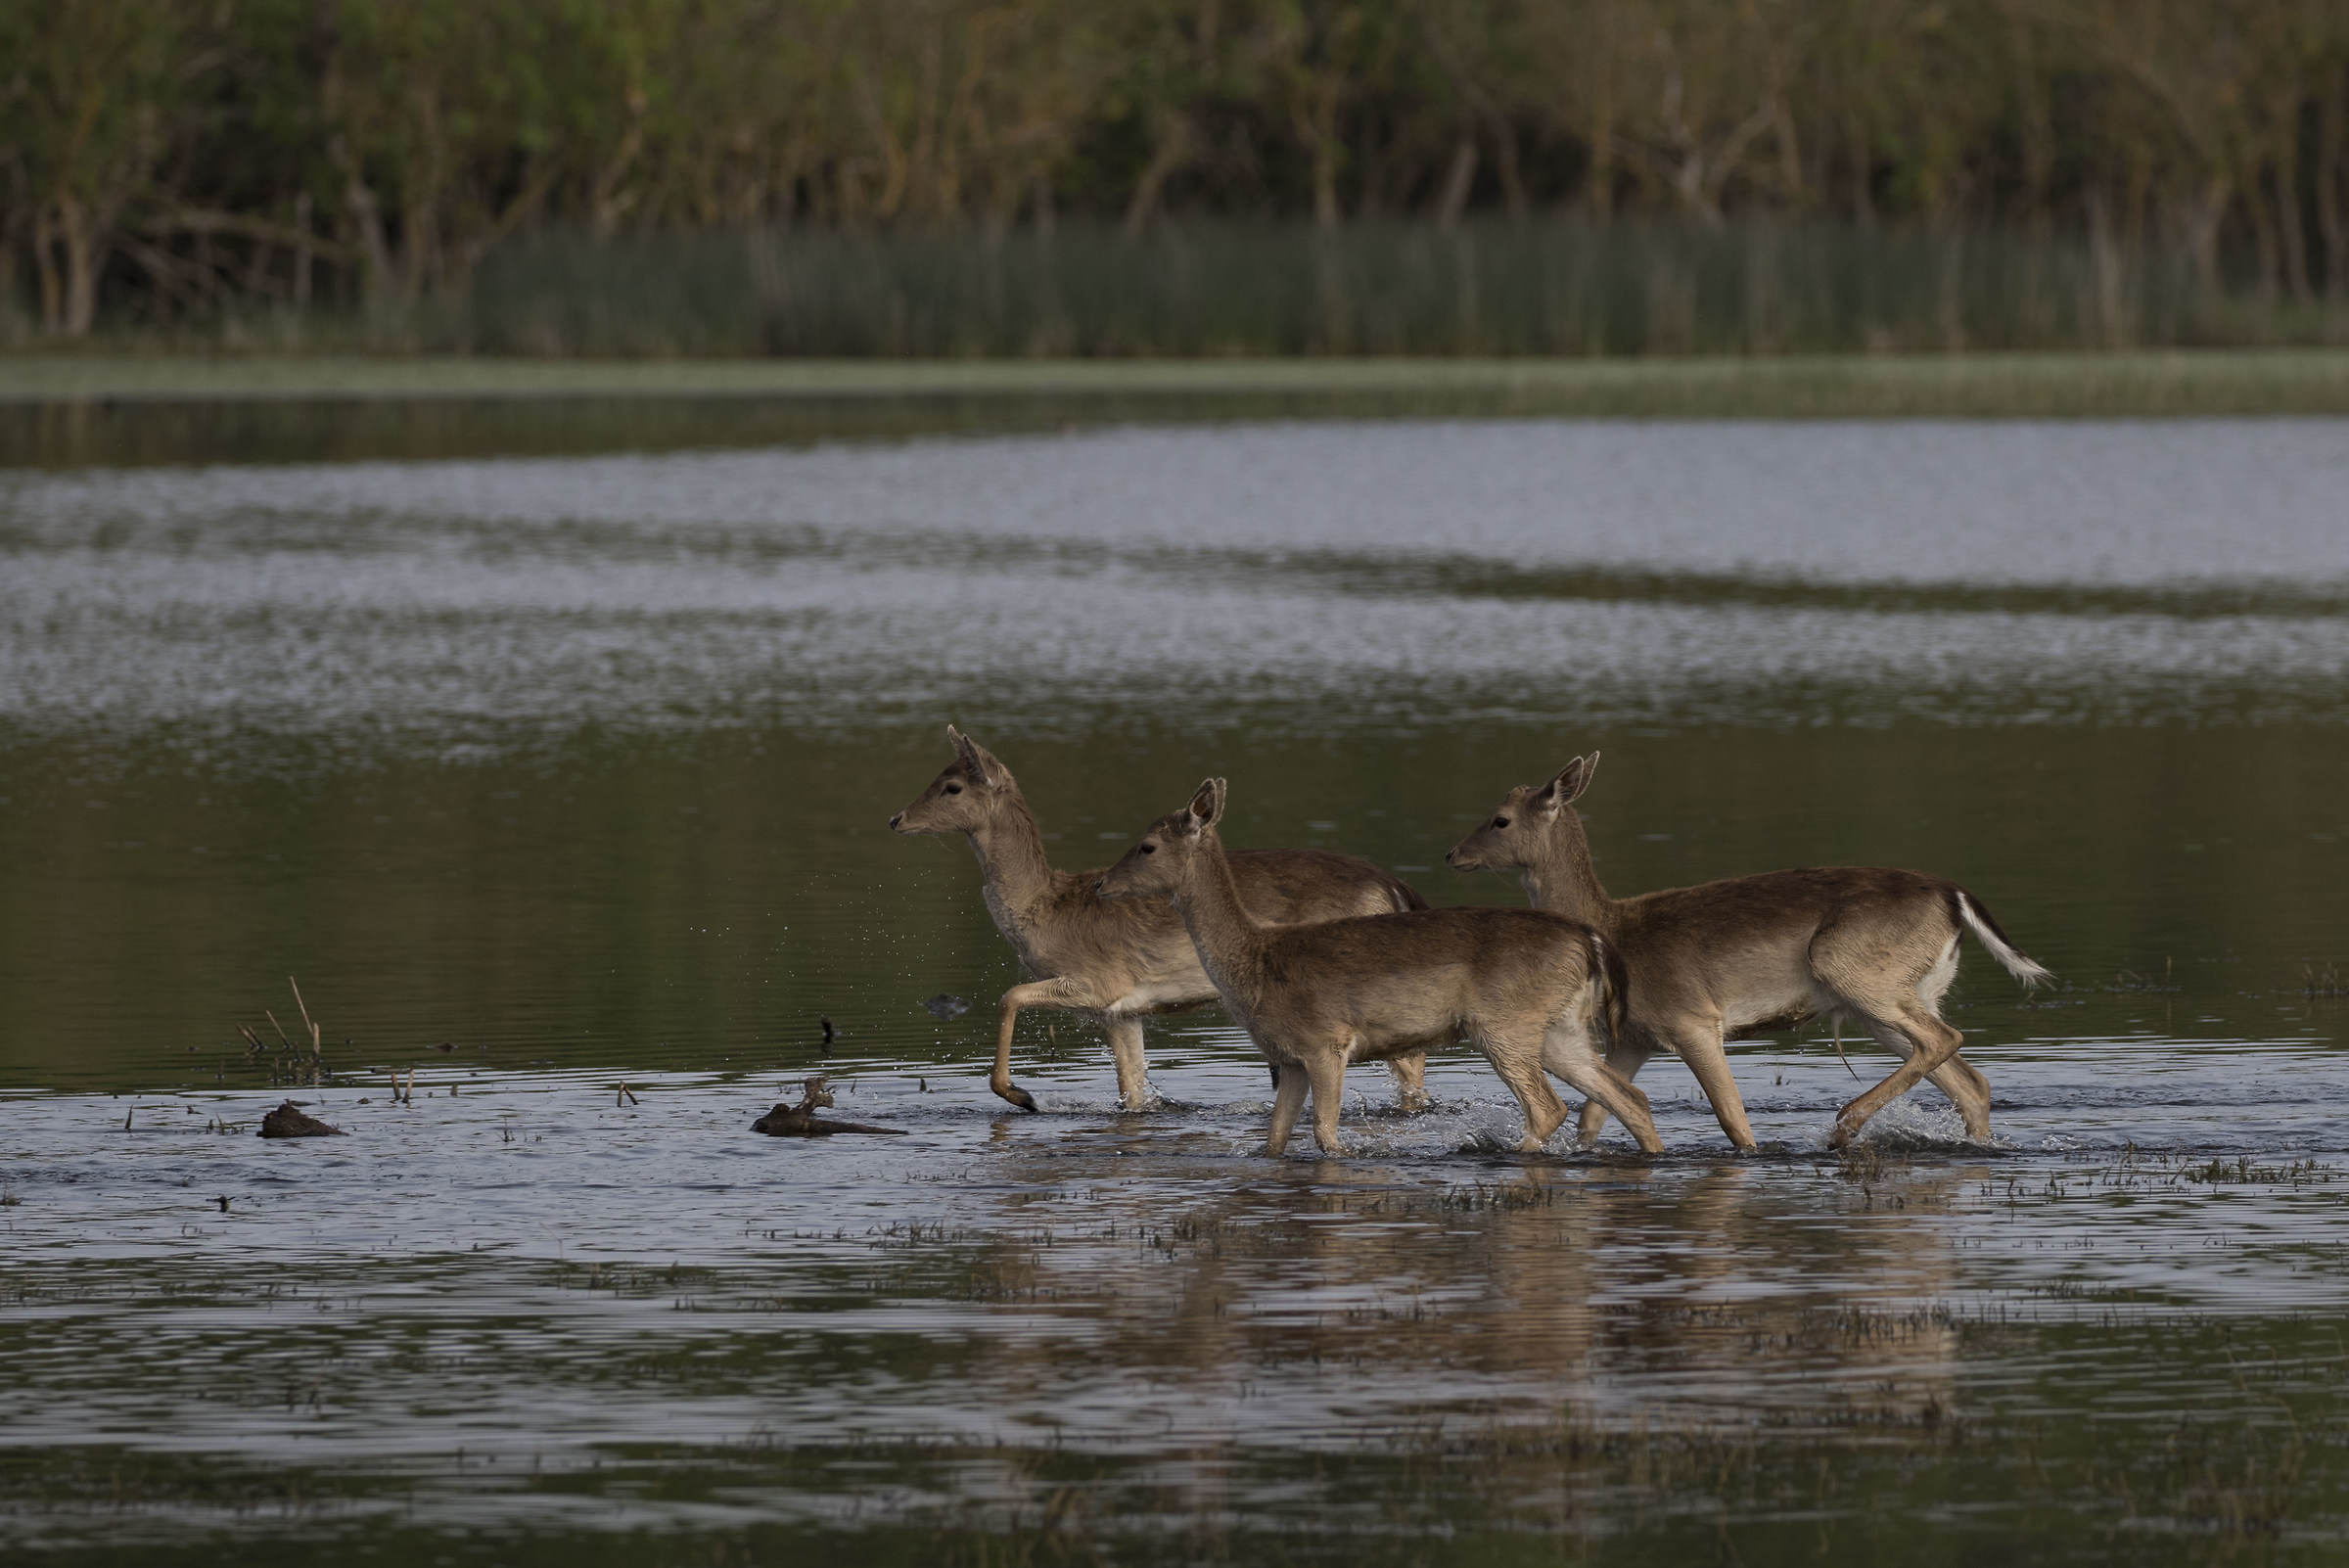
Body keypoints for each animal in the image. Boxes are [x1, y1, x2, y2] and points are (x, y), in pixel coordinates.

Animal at [890, 727, 1432, 1113]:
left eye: (952, 786)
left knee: (1412, 1069)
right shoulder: (1121, 1011)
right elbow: (1131, 1087)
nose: (896, 819)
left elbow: (1009, 996)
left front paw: (1024, 1096)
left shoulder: (1098, 981)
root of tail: (1394, 888)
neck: (1044, 909)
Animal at [1096, 778, 1661, 1158]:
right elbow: (1275, 1139)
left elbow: (1325, 1135)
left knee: (1549, 1107)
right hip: (1560, 1028)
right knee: (1627, 1095)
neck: (1255, 961)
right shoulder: (1292, 1057)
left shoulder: (1326, 1041)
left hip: (1505, 1023)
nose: (1102, 883)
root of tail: (1590, 942)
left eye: (1147, 846)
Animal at [1446, 752, 2053, 1151]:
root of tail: (1955, 896)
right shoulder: (1635, 1038)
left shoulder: (1693, 1018)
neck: (1612, 927)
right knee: (1969, 1080)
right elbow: (1595, 1118)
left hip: (1854, 970)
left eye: (1499, 819)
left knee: (1945, 1041)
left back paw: (1845, 1124)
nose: (1452, 853)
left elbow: (1733, 1120)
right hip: (1903, 994)